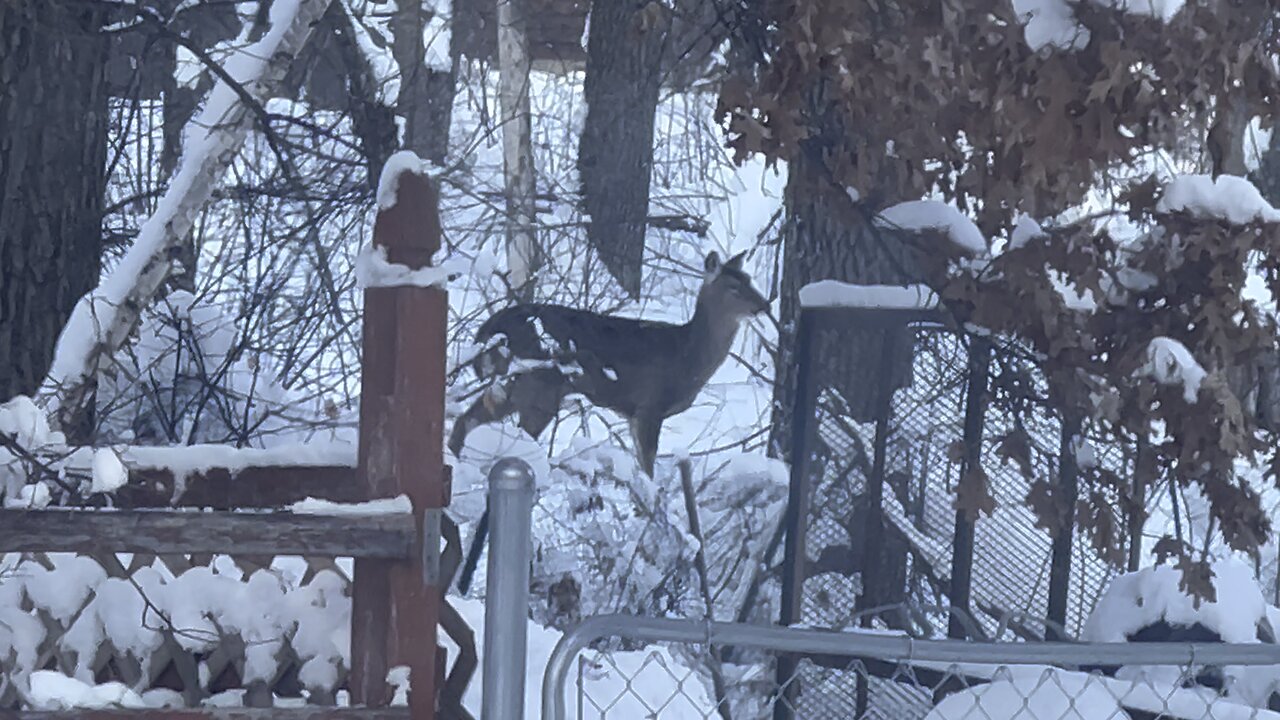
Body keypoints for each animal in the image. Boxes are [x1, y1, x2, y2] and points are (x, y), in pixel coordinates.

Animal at [448, 250, 770, 593]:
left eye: (749, 279)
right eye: (733, 287)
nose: (764, 304)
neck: (687, 359)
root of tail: (486, 334)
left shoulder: (631, 414)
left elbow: (640, 471)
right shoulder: (649, 407)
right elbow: (648, 471)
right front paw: (650, 525)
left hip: (509, 390)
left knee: (465, 421)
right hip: (536, 388)